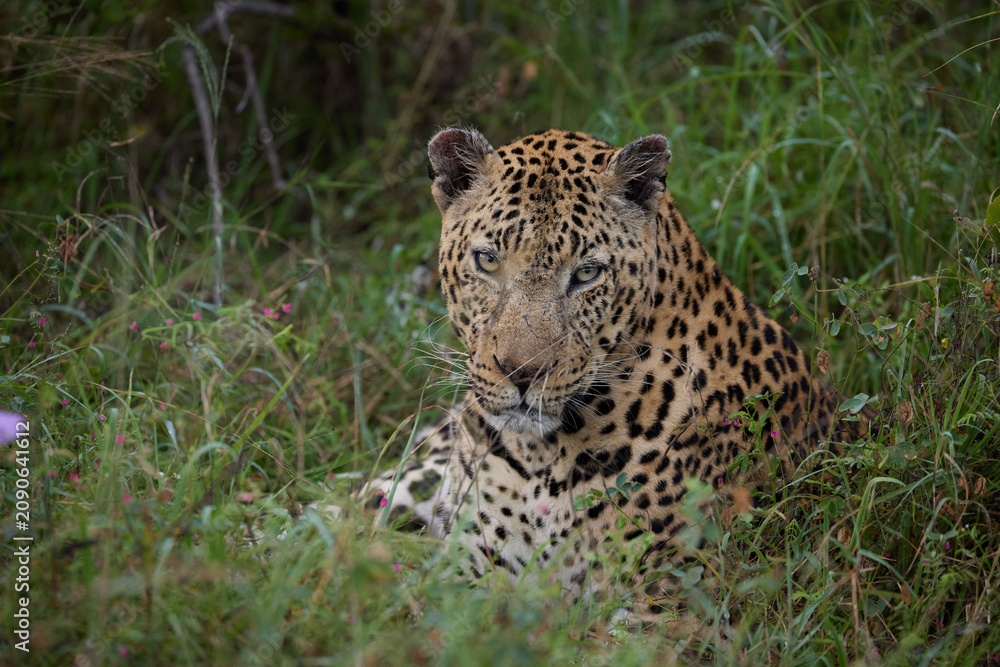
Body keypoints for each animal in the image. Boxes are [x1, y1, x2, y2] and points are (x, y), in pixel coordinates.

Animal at [359, 126, 870, 624]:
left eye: (587, 274)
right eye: (487, 261)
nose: (524, 373)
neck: (536, 460)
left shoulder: (663, 606)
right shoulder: (465, 576)